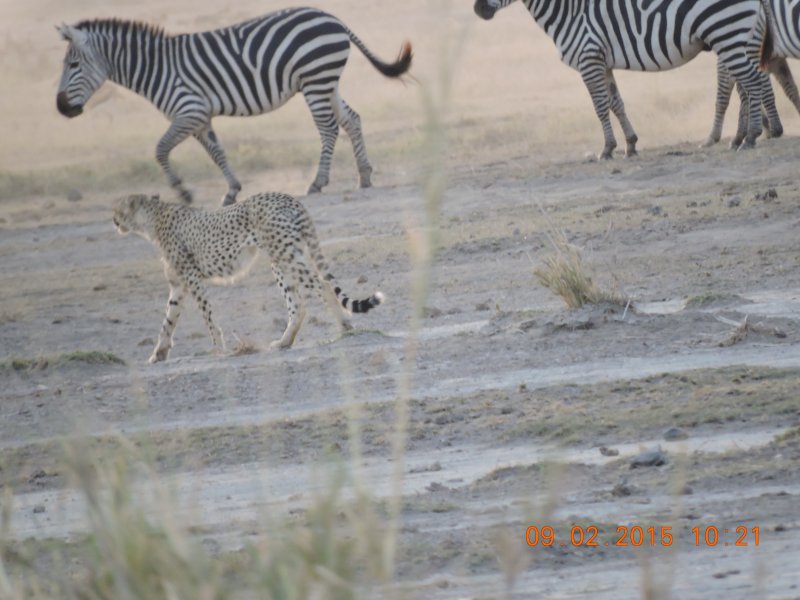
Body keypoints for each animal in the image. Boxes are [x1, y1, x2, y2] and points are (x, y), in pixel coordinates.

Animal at [56, 8, 413, 205]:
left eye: (73, 65)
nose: (61, 108)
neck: (157, 68)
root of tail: (332, 17)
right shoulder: (200, 118)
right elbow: (217, 152)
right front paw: (231, 191)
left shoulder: (189, 111)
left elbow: (160, 149)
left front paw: (183, 192)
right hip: (327, 81)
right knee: (352, 119)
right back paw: (364, 175)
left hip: (316, 79)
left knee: (327, 129)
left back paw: (317, 182)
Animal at [112, 191, 384, 363]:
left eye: (118, 210)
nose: (113, 221)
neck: (151, 219)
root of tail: (289, 197)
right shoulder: (179, 285)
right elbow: (168, 320)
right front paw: (158, 353)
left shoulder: (192, 278)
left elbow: (207, 315)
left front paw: (217, 348)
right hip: (283, 258)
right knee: (298, 303)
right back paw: (284, 342)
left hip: (283, 255)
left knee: (323, 285)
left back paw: (344, 325)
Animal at [473, 0, 769, 158]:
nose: (477, 10)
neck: (568, 12)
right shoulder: (602, 63)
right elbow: (617, 103)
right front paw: (631, 144)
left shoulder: (589, 59)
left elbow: (600, 107)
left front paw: (607, 149)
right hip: (734, 38)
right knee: (747, 86)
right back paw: (742, 137)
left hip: (726, 34)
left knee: (753, 81)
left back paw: (751, 137)